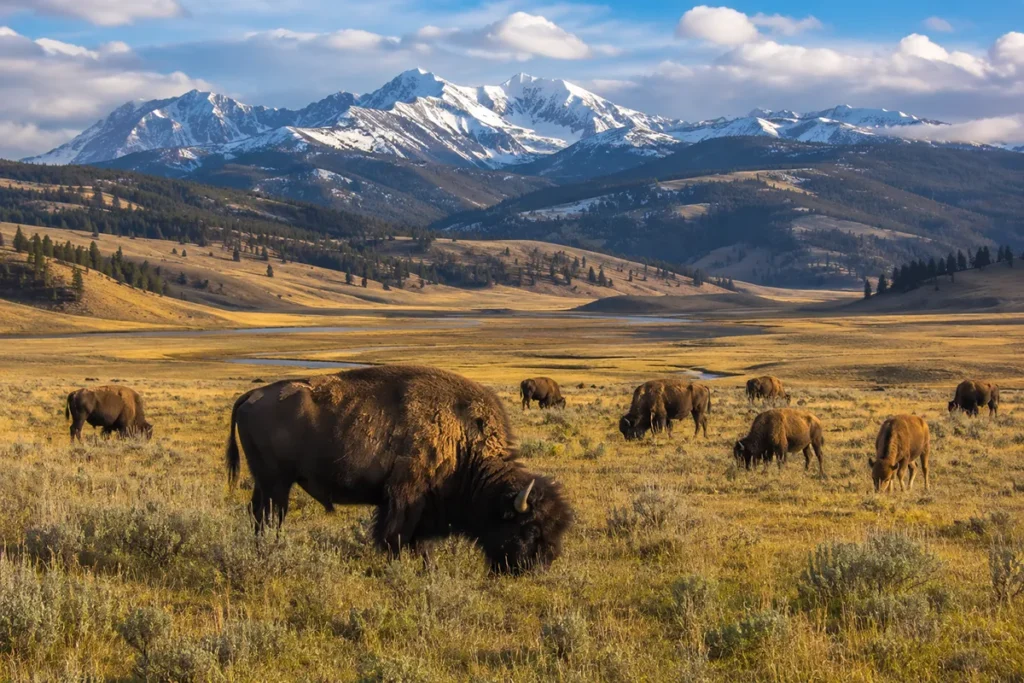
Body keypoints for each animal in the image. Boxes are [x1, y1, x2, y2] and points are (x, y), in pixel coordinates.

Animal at [226, 365, 572, 574]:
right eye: (529, 529)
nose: (537, 568)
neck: (463, 439)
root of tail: (252, 395)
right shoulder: (406, 497)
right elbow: (398, 535)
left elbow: (418, 540)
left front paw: (426, 567)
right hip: (276, 482)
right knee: (271, 514)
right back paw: (271, 549)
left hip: (265, 481)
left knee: (259, 512)